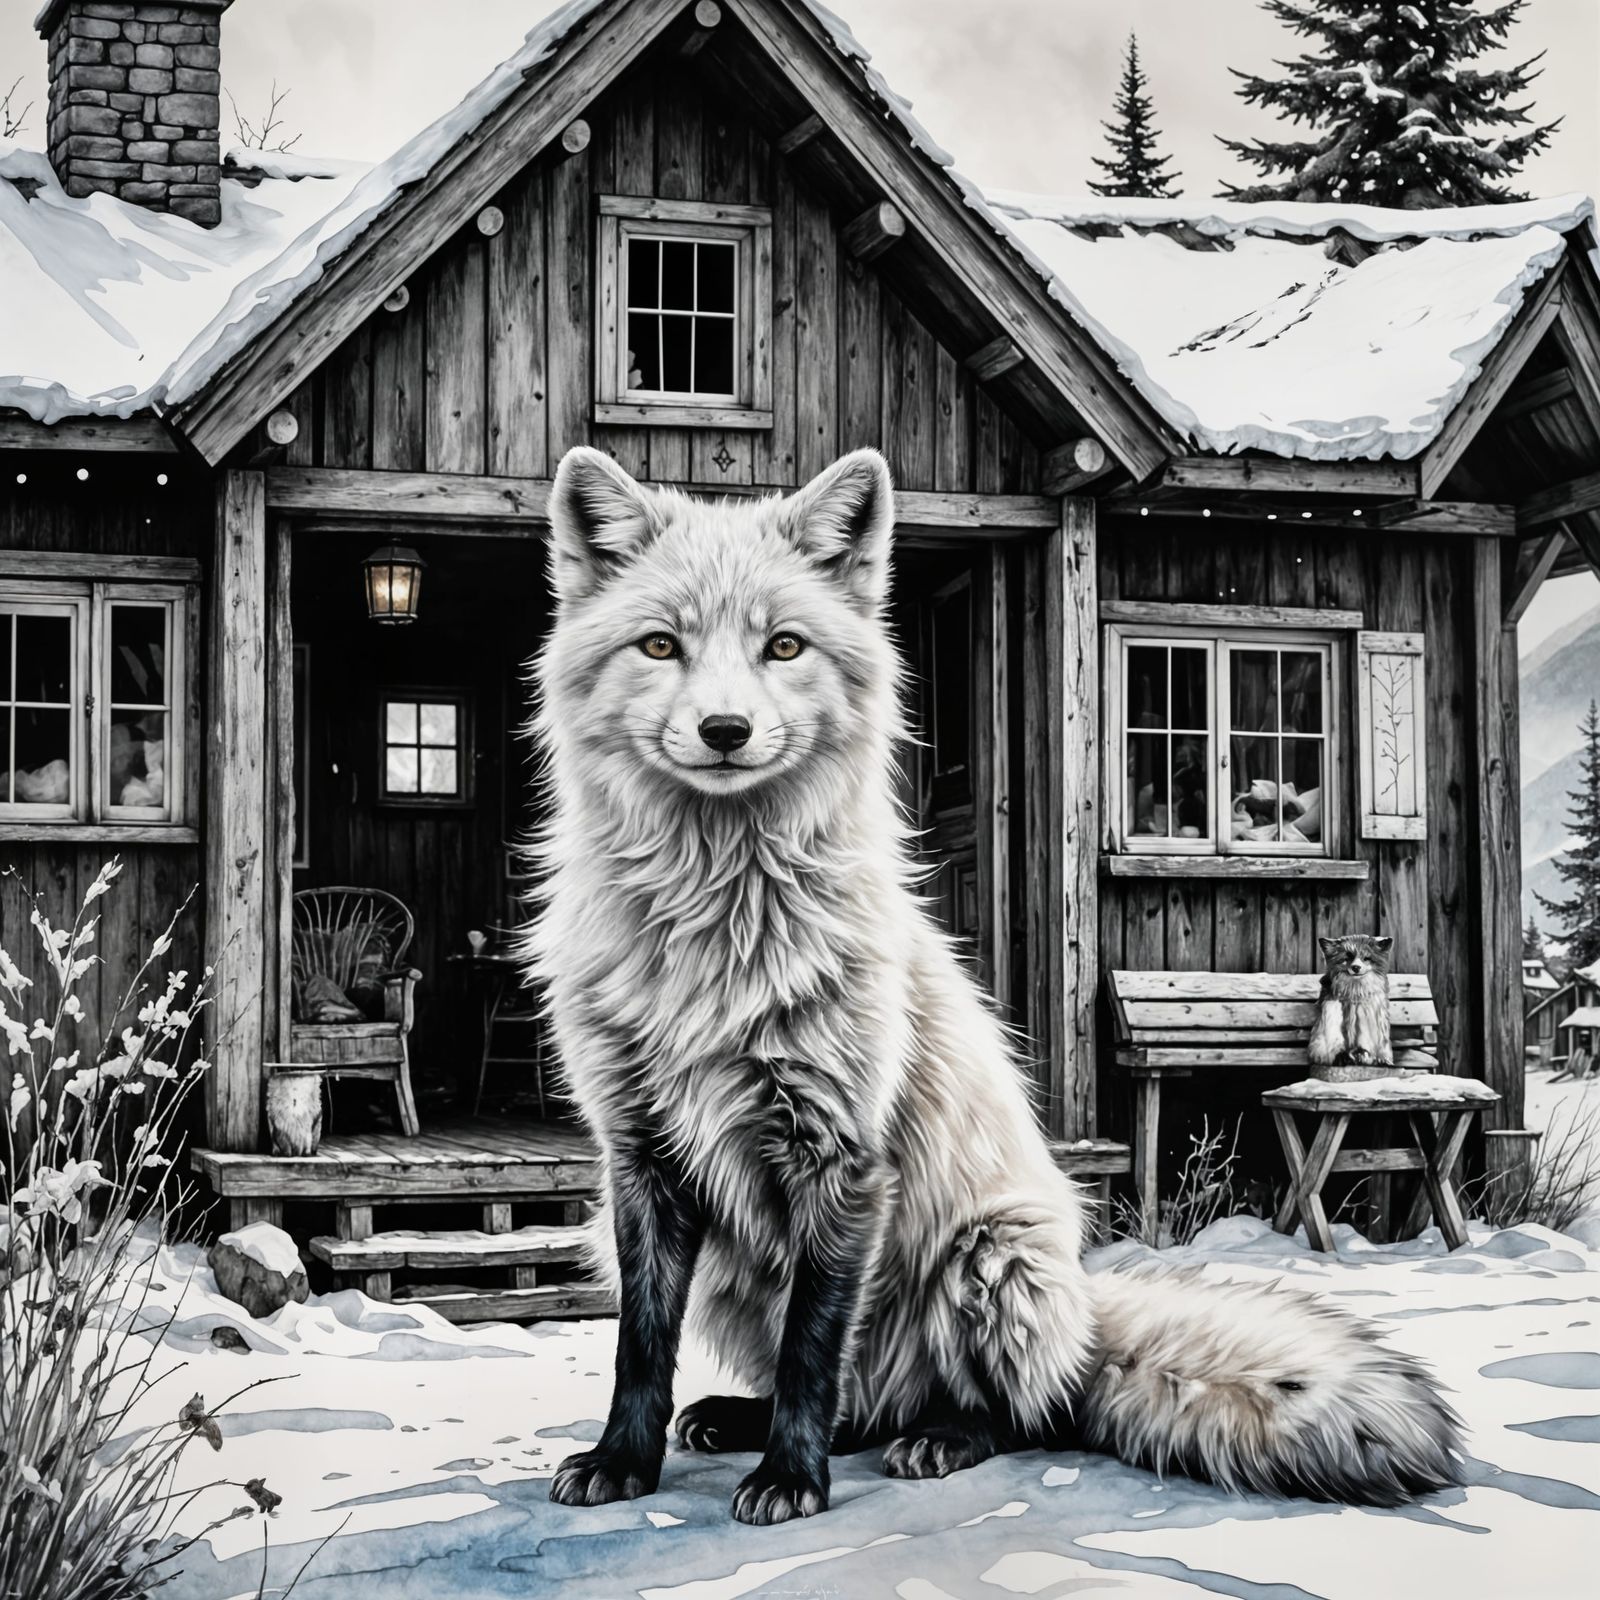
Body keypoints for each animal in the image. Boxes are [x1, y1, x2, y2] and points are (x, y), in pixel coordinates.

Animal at [526, 444, 1464, 1527]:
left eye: (784, 647)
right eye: (660, 645)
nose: (725, 729)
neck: (713, 936)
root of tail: (1084, 1322)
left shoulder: (841, 1153)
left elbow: (812, 1349)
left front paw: (792, 1480)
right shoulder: (637, 1156)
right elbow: (641, 1346)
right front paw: (623, 1461)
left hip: (994, 1258)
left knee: (1010, 1413)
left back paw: (935, 1437)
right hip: (715, 1269)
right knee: (858, 1404)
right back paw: (741, 1418)